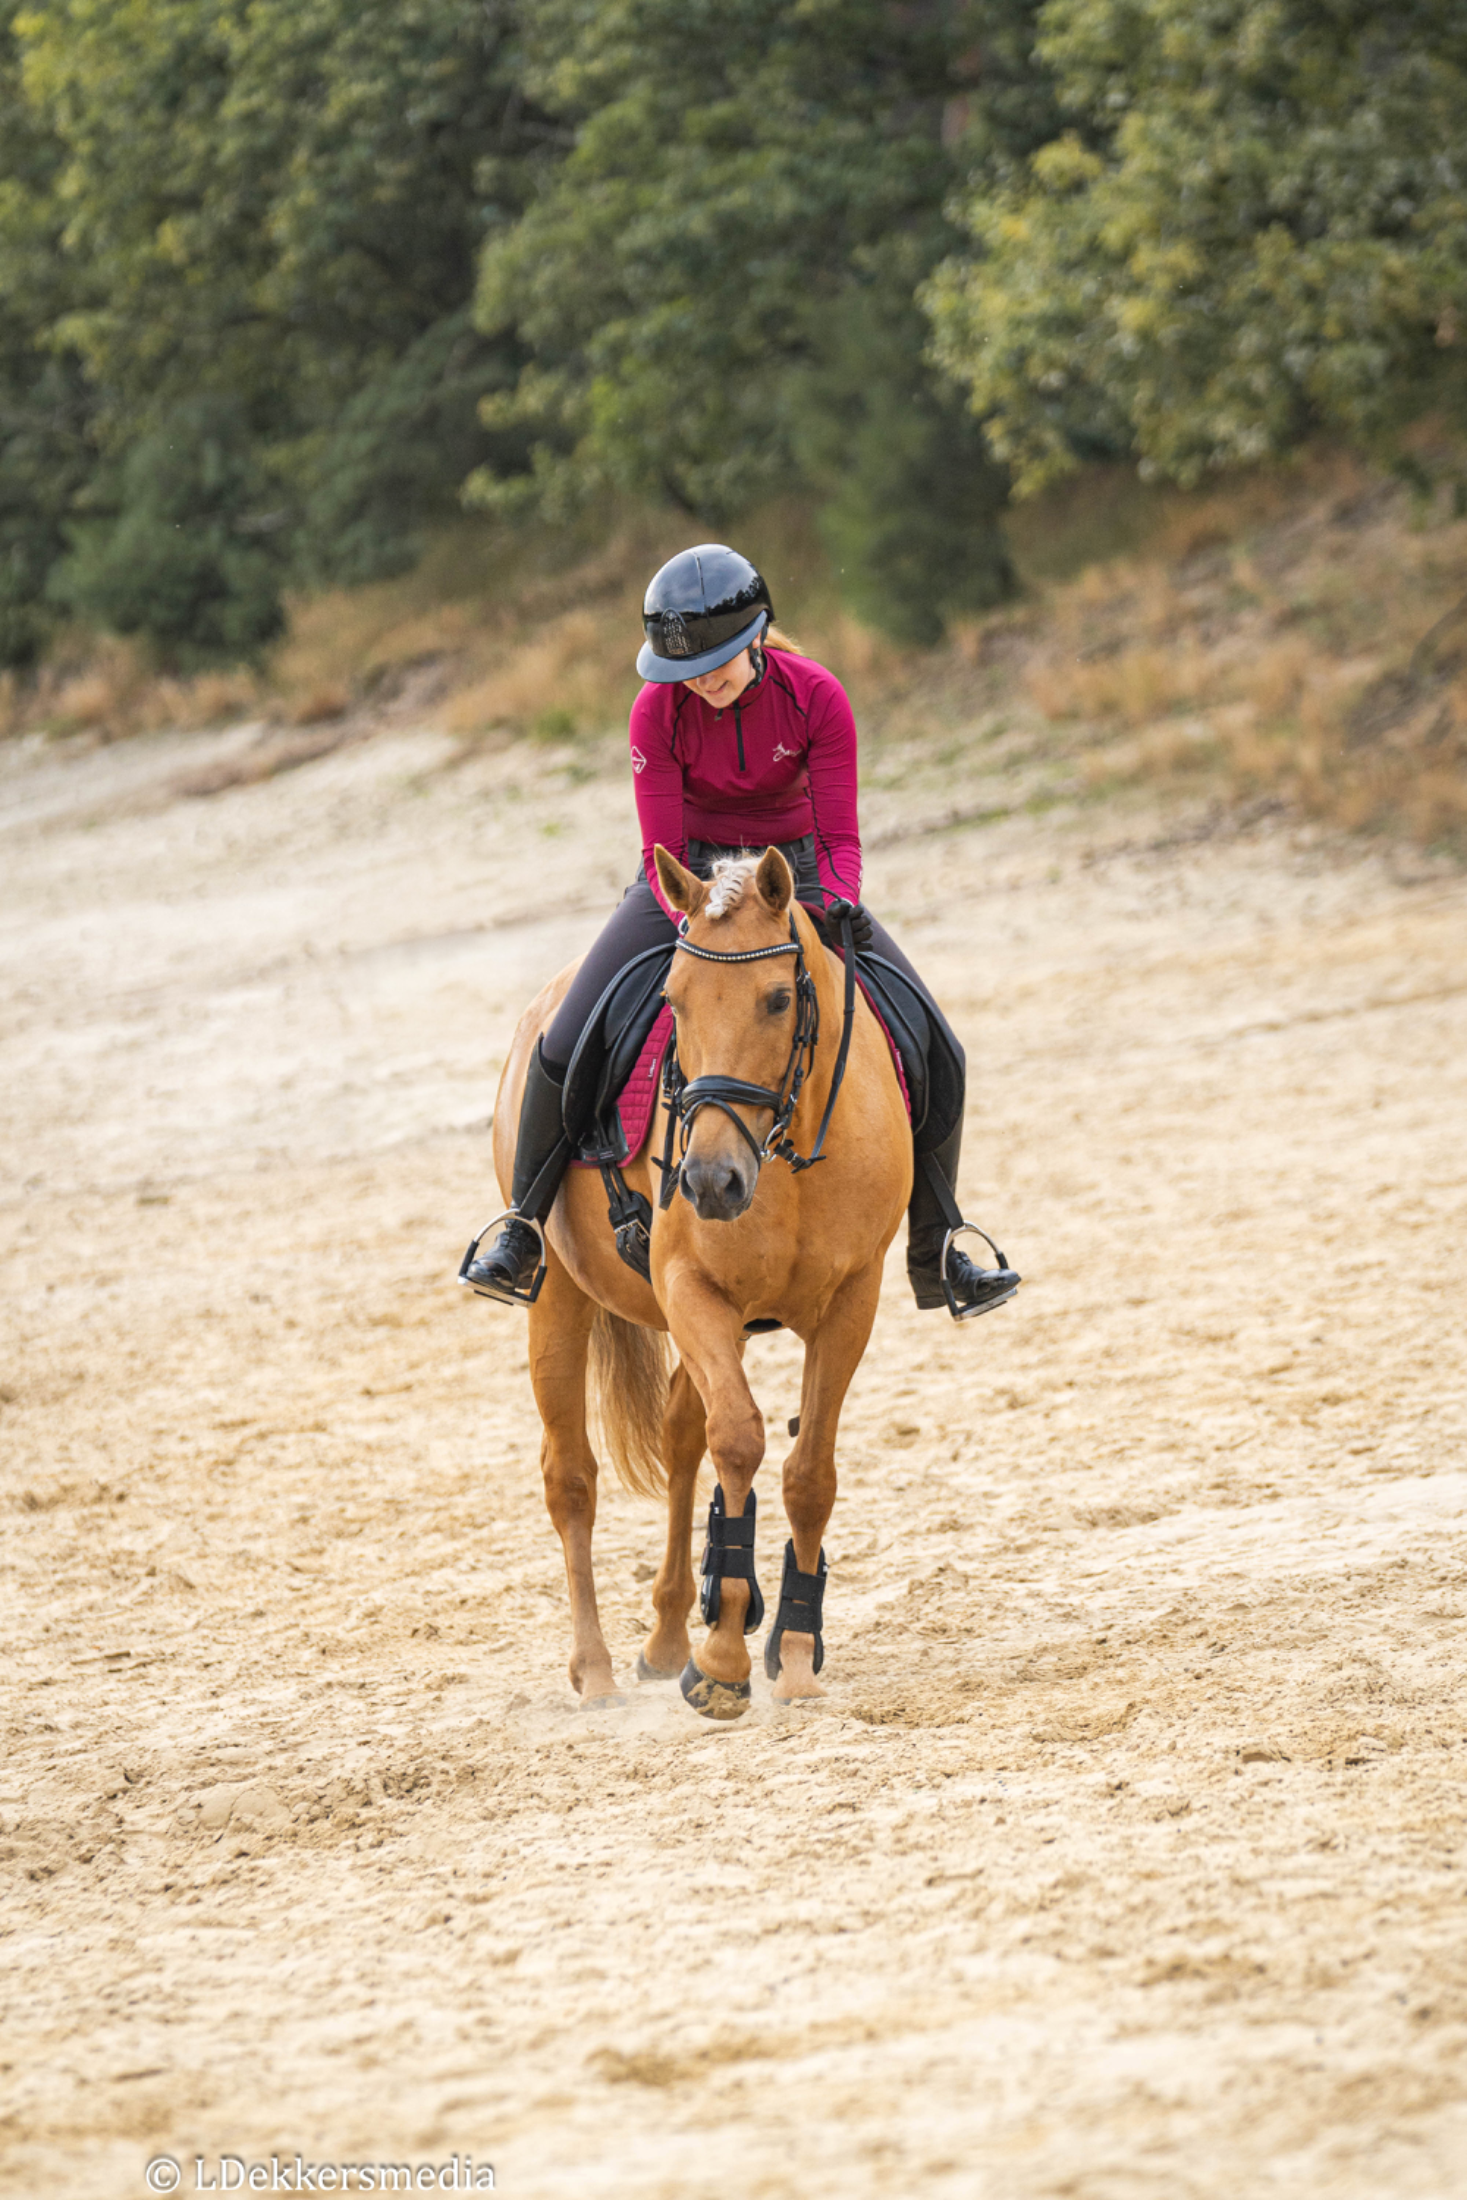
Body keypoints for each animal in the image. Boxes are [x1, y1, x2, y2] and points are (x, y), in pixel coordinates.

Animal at [481, 843, 911, 1718]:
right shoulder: (689, 1289)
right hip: (558, 1297)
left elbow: (808, 1473)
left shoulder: (853, 1300)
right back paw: (598, 1671)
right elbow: (740, 1438)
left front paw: (790, 1652)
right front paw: (723, 1661)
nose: (709, 1181)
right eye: (672, 1001)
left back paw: (668, 1634)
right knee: (570, 1476)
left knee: (681, 1437)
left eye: (777, 999)